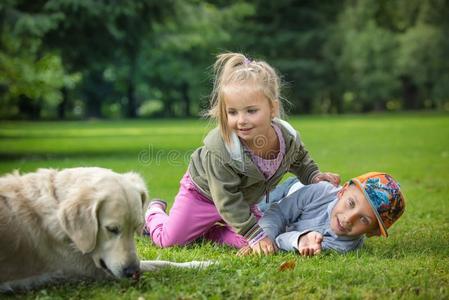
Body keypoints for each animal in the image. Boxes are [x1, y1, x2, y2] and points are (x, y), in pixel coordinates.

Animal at [0, 166, 212, 290]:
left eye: (135, 228)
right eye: (111, 229)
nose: (131, 271)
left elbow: (163, 262)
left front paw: (203, 263)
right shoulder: (93, 270)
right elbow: (162, 264)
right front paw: (203, 264)